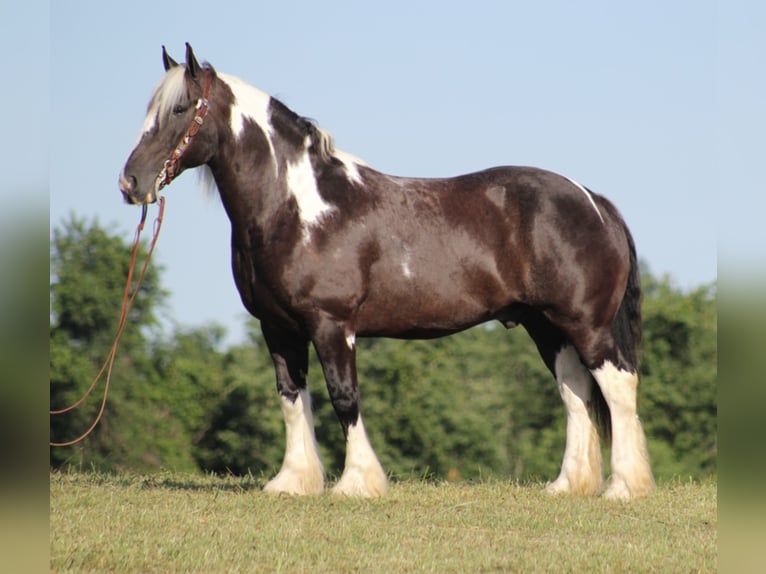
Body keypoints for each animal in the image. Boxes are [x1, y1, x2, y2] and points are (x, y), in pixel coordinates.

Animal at [118, 45, 656, 502]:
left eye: (181, 109)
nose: (130, 182)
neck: (298, 208)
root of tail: (592, 200)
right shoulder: (278, 327)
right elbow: (292, 398)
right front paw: (293, 482)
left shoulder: (332, 325)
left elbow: (344, 397)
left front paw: (357, 483)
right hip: (547, 327)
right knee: (575, 391)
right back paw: (568, 485)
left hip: (585, 325)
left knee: (618, 388)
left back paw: (623, 488)